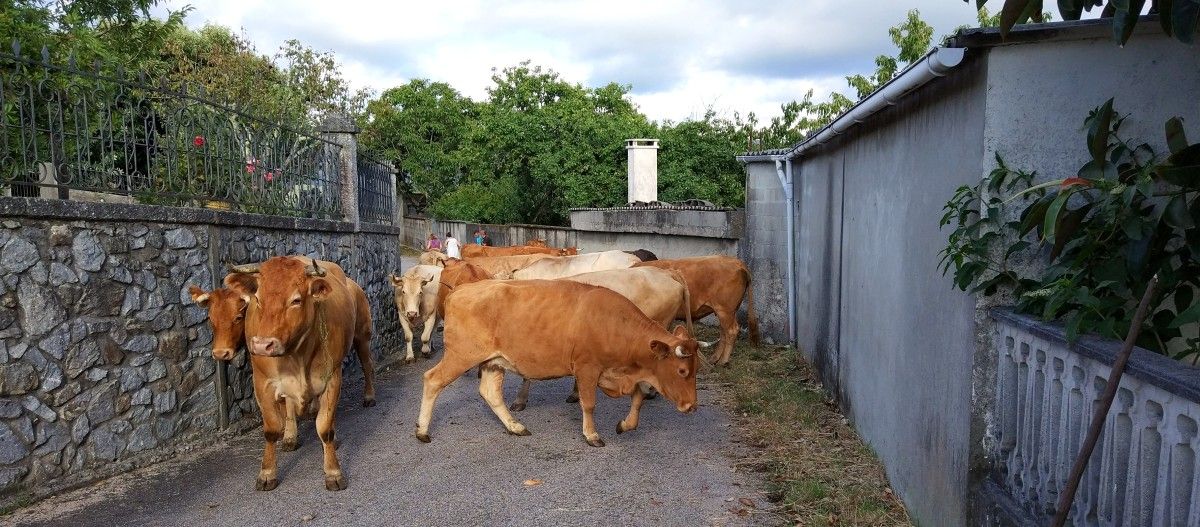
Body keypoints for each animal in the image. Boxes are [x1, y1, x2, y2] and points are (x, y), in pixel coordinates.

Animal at [225, 258, 372, 492]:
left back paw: (368, 397)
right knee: (290, 407)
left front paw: (333, 472)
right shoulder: (262, 383)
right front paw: (267, 473)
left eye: (296, 300)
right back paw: (290, 437)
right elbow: (271, 429)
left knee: (367, 366)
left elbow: (325, 428)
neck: (296, 355)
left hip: (362, 337)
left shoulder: (332, 380)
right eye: (257, 298)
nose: (262, 345)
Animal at [417, 278, 700, 446]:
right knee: (432, 380)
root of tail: (461, 289)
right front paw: (592, 435)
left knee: (490, 393)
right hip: (461, 355)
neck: (612, 324)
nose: (691, 406)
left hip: (493, 361)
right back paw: (422, 430)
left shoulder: (621, 374)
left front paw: (624, 425)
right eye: (682, 370)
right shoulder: (587, 369)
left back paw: (515, 427)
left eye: (695, 370)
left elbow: (638, 398)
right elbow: (589, 404)